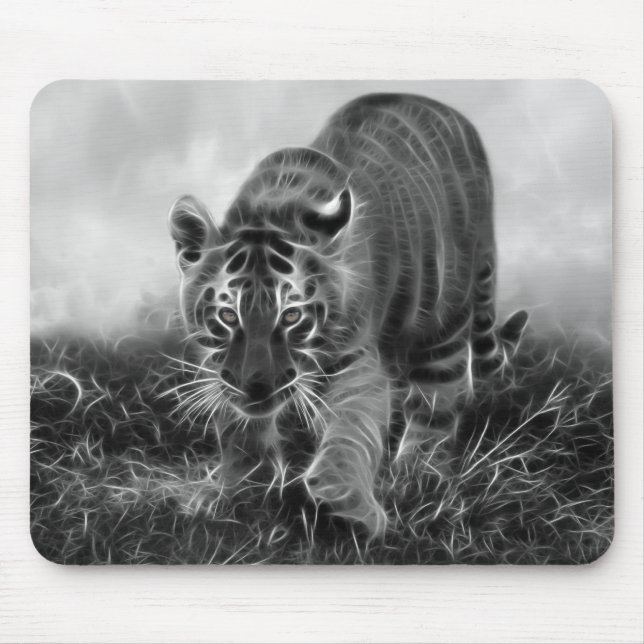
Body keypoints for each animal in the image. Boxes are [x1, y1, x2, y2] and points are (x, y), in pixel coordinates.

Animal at [168, 93, 528, 539]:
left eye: (292, 316)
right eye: (227, 315)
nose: (257, 386)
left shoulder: (356, 362)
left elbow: (350, 431)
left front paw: (348, 507)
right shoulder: (220, 370)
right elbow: (239, 431)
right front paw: (236, 494)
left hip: (445, 320)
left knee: (439, 399)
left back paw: (420, 478)